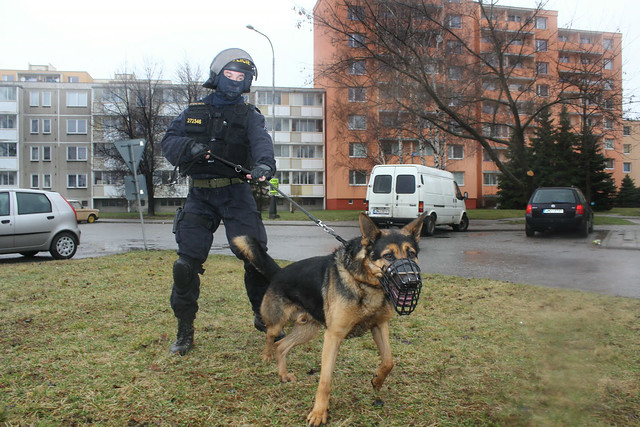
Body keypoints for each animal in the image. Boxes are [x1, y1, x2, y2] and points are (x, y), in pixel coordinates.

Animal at [234, 212, 424, 426]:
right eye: (388, 256)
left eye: (411, 254)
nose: (411, 283)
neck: (364, 283)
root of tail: (279, 272)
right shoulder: (333, 336)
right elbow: (325, 381)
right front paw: (318, 413)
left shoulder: (379, 326)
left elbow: (389, 361)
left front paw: (377, 380)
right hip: (279, 323)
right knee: (270, 335)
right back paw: (266, 356)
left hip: (307, 330)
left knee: (281, 346)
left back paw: (283, 374)